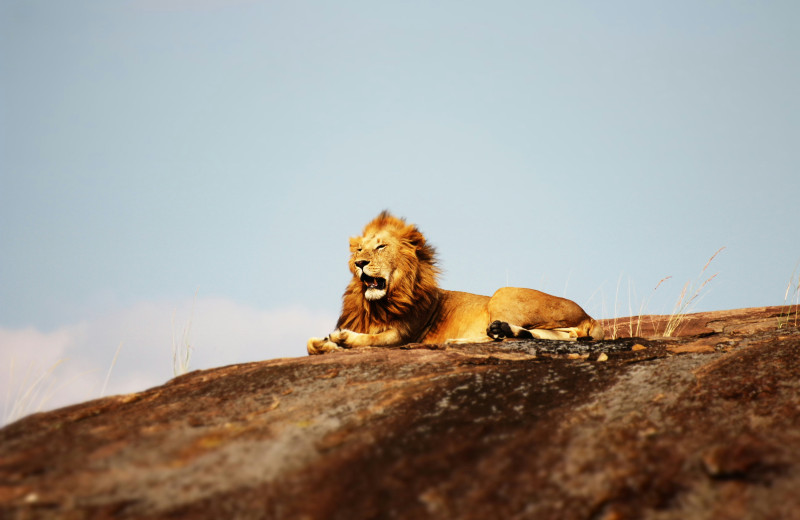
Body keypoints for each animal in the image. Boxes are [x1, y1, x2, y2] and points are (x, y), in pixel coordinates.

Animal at [310, 210, 604, 354]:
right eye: (359, 250)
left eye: (381, 247)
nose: (360, 263)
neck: (377, 303)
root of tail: (590, 316)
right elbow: (311, 346)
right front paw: (324, 342)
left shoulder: (403, 334)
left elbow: (371, 340)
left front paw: (342, 338)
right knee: (560, 335)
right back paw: (493, 332)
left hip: (503, 293)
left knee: (563, 334)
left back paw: (465, 339)